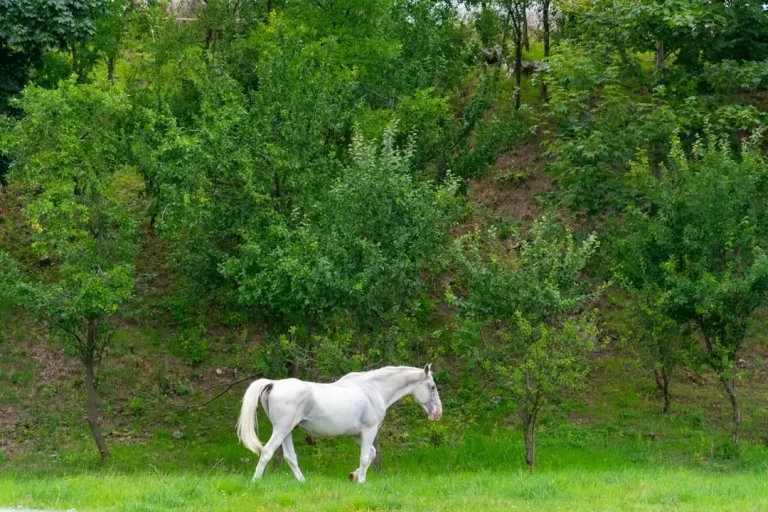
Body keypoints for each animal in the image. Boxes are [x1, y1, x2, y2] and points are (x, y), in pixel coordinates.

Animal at [236, 364, 443, 483]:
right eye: (432, 387)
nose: (437, 413)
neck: (373, 389)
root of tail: (273, 384)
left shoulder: (357, 435)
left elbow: (372, 454)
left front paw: (354, 475)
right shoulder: (369, 431)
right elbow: (365, 457)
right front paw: (361, 481)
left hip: (286, 432)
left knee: (290, 458)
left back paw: (303, 482)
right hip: (281, 430)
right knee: (266, 452)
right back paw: (256, 482)